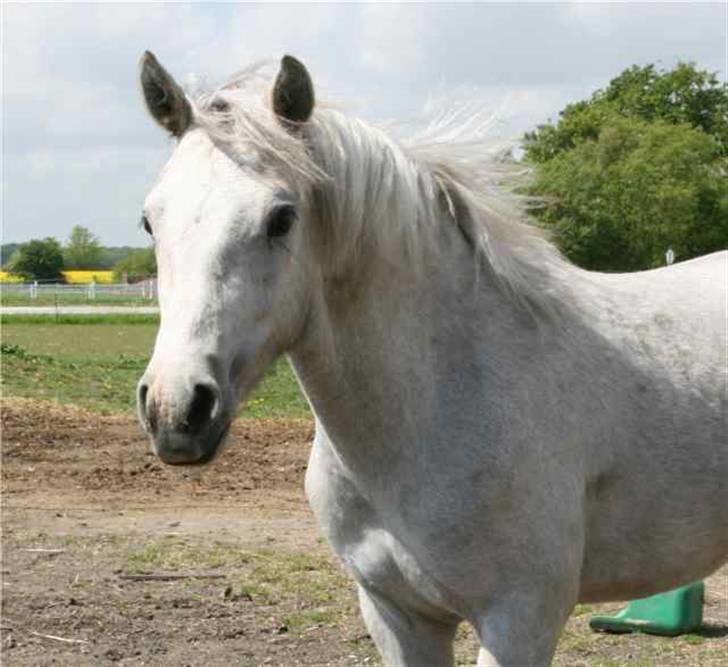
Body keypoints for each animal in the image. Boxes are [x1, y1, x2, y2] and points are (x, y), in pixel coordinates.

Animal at [136, 53, 728, 667]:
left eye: (281, 218)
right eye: (150, 220)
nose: (176, 410)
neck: (442, 398)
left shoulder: (520, 619)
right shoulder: (396, 614)